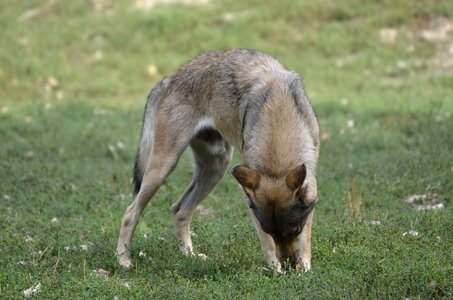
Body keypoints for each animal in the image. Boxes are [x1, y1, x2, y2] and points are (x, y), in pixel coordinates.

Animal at [117, 48, 322, 272]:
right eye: (272, 232)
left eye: (294, 231)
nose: (288, 266)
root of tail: (173, 77)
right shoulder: (251, 201)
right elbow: (267, 243)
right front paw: (276, 269)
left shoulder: (310, 192)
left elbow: (306, 239)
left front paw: (304, 267)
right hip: (163, 168)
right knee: (130, 212)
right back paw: (123, 260)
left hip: (216, 168)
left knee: (179, 209)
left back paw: (190, 256)